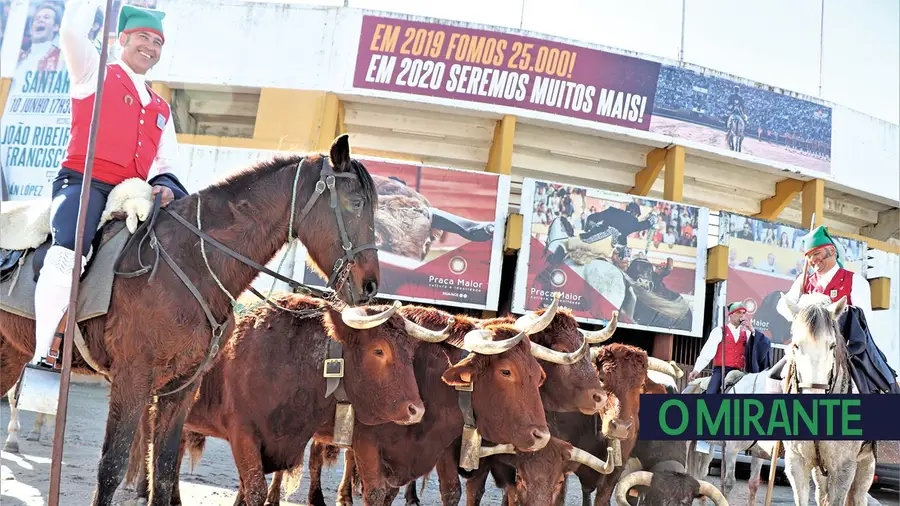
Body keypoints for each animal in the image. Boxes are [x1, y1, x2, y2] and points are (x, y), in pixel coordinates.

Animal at [0, 134, 380, 506]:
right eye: (355, 203)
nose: (371, 285)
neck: (190, 261)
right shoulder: (133, 378)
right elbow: (112, 467)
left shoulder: (181, 387)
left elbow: (165, 469)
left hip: (11, 353)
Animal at [776, 292, 876, 506]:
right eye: (796, 345)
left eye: (832, 345)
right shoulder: (796, 463)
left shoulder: (845, 468)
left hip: (866, 463)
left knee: (859, 496)